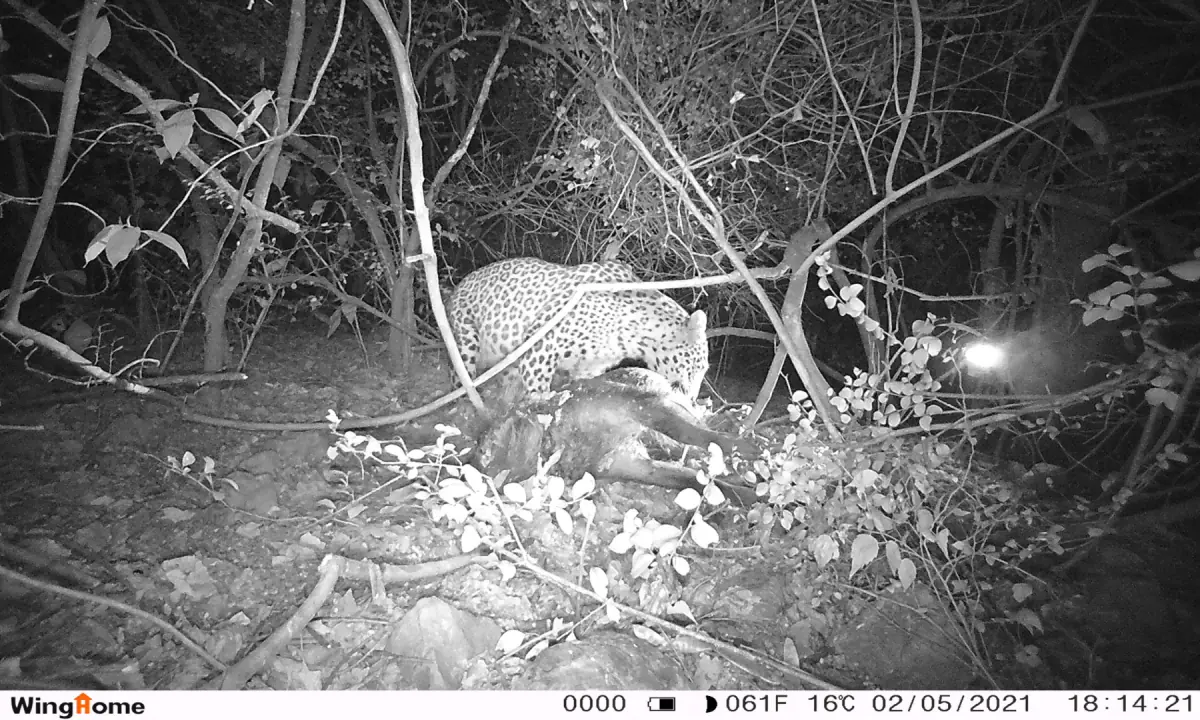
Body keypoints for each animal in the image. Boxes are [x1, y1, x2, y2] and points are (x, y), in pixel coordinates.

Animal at [448, 257, 710, 400]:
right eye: (697, 365)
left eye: (704, 368)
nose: (693, 398)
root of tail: (458, 285)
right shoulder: (542, 344)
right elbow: (538, 390)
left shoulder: (591, 367)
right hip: (466, 338)